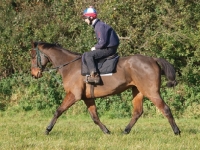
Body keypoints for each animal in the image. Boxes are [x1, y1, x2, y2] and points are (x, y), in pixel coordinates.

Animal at [30, 41, 181, 135]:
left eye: (32, 56)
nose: (34, 74)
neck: (70, 66)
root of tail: (153, 59)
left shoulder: (73, 95)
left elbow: (58, 111)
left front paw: (47, 129)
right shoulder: (87, 98)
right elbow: (95, 117)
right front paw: (106, 131)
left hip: (151, 91)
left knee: (165, 109)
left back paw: (176, 131)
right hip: (138, 91)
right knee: (137, 112)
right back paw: (125, 131)